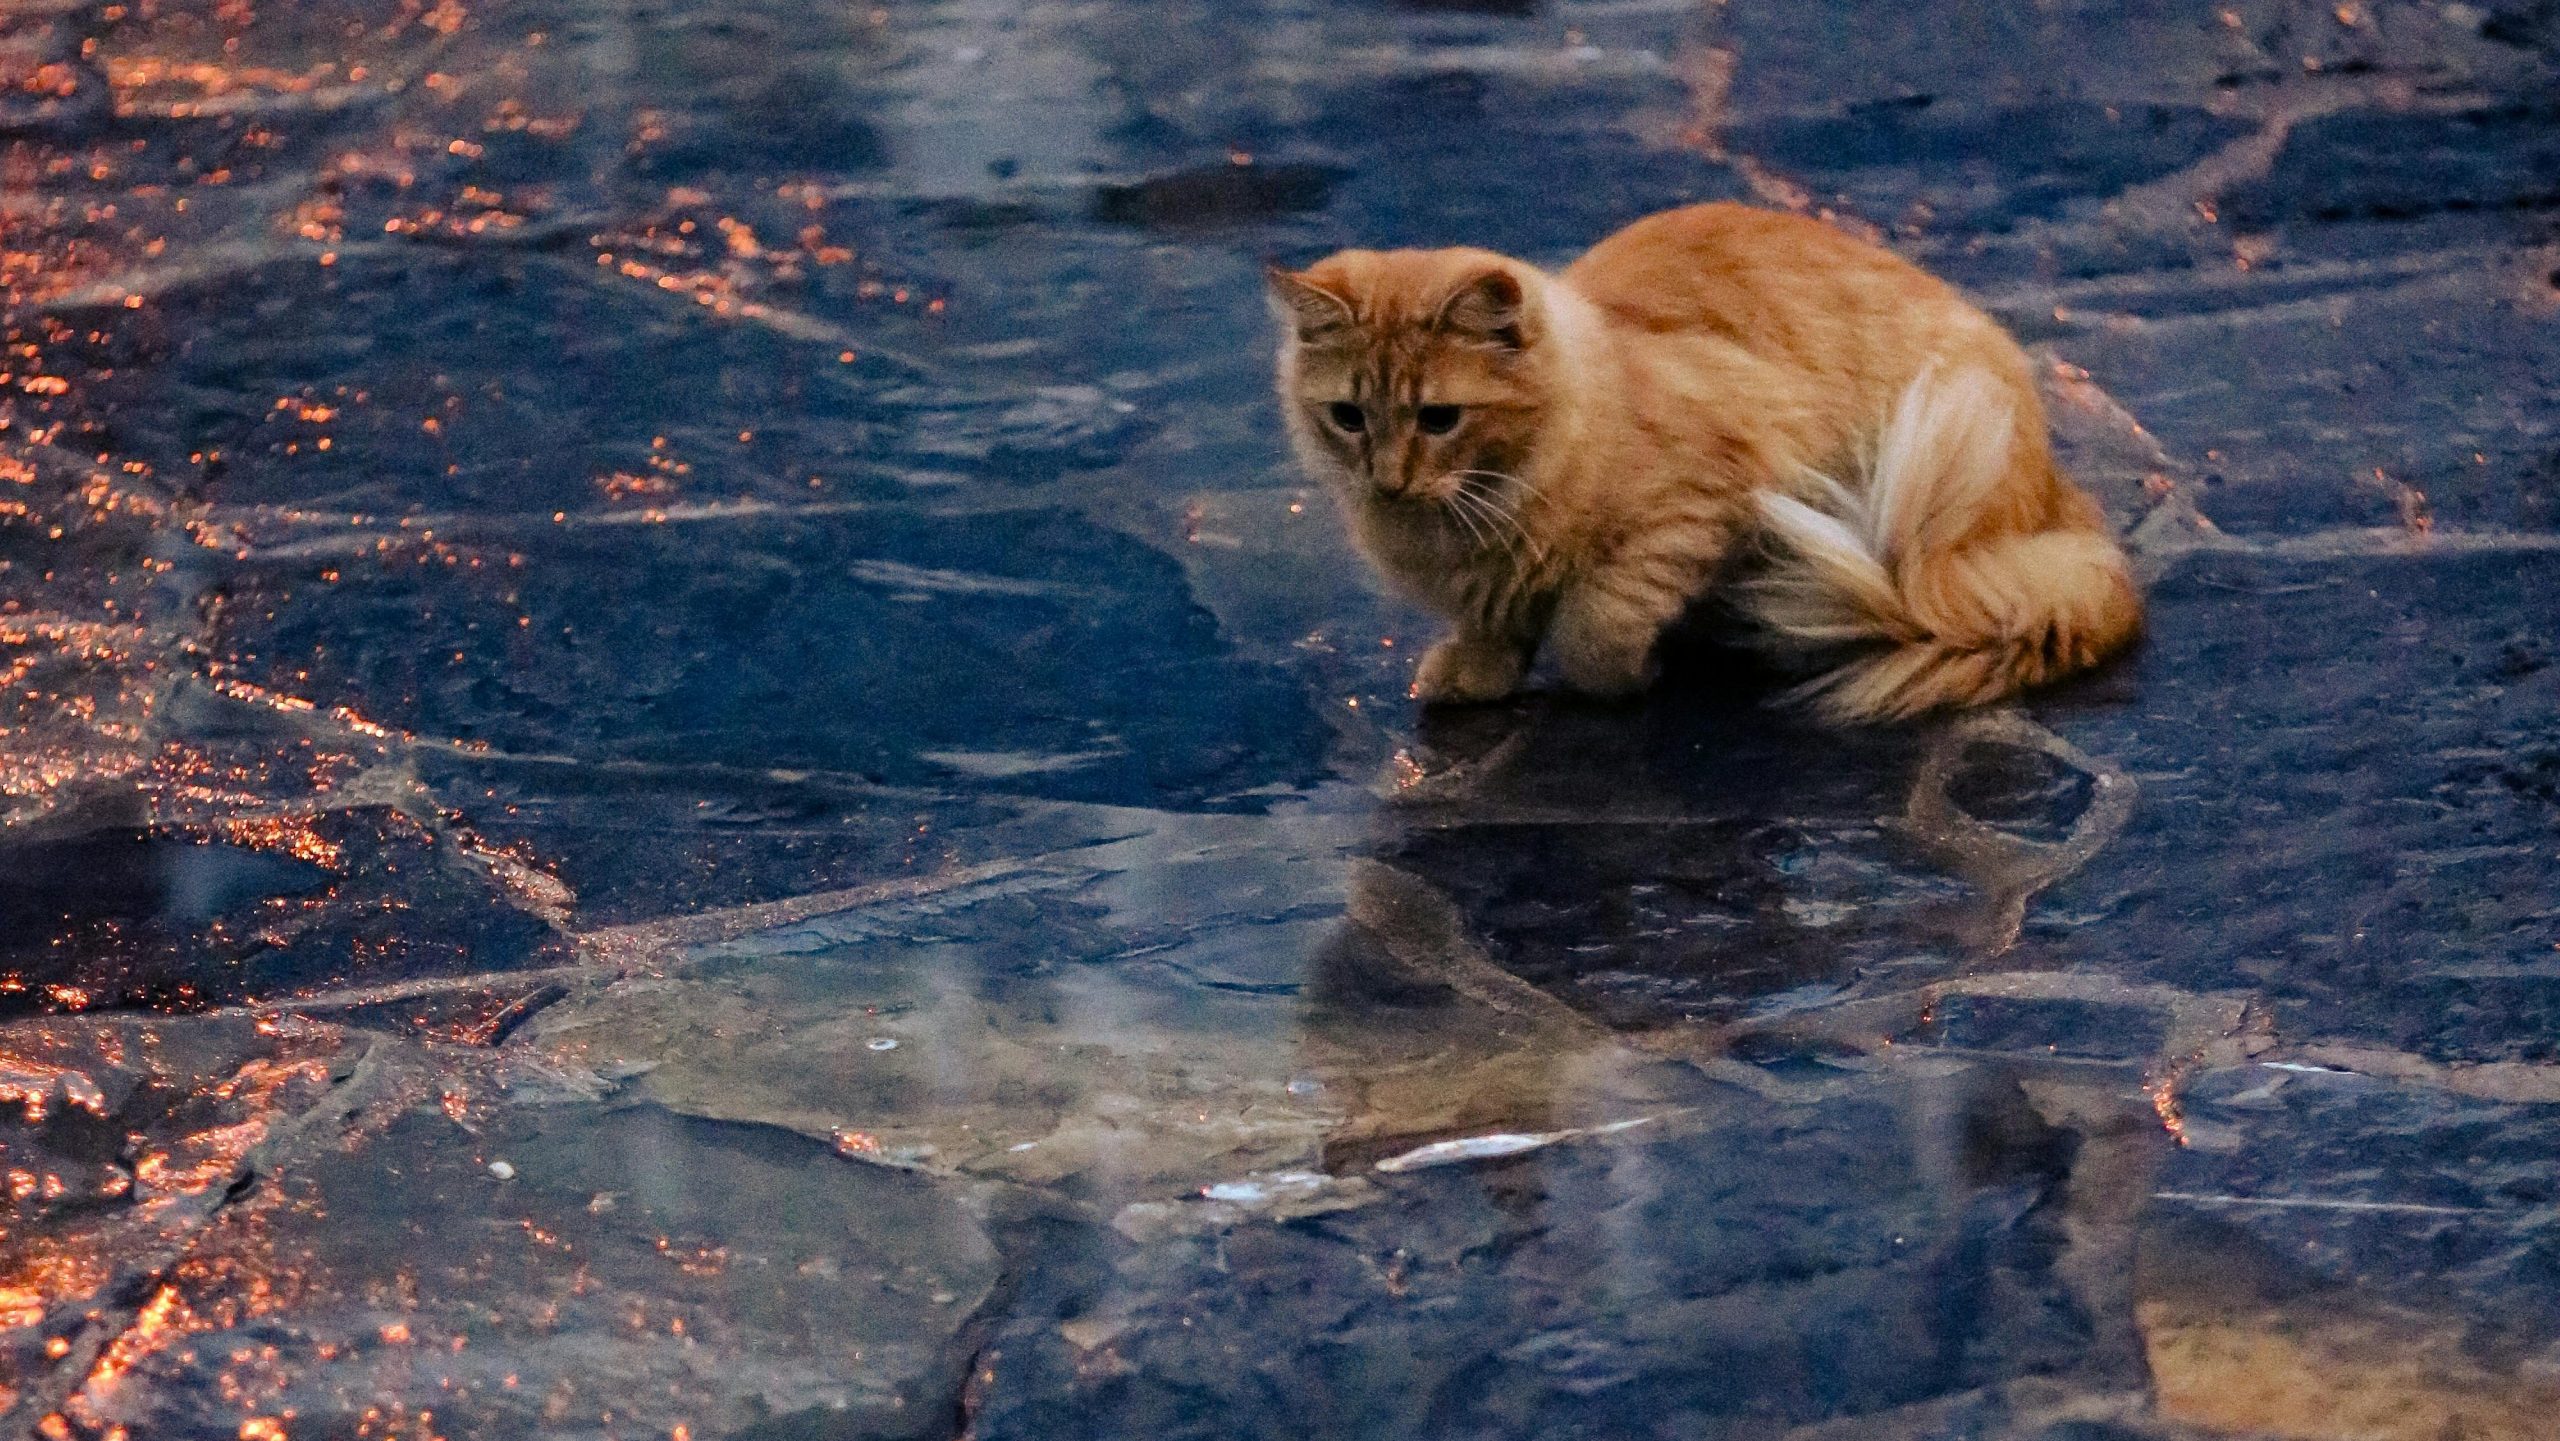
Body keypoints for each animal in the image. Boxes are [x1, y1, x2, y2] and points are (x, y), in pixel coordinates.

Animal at [1274, 203, 2140, 721]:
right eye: (1349, 417)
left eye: (1439, 419)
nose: (1387, 479)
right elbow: (1496, 624)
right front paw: (1477, 669)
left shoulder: (1703, 492)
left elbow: (1596, 630)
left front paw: (1632, 673)